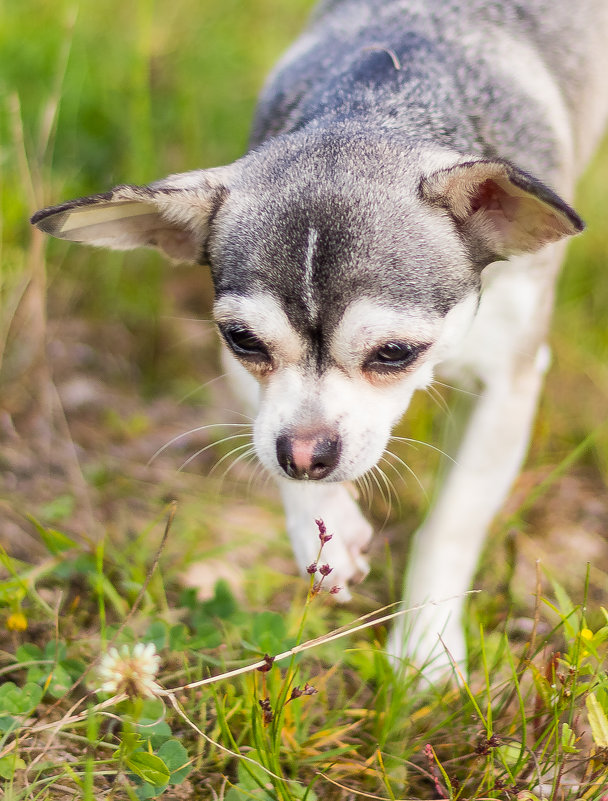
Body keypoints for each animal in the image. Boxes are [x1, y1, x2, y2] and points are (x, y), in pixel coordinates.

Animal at [32, 0, 608, 668]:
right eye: (244, 341)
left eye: (395, 353)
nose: (306, 454)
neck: (381, 100)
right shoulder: (248, 382)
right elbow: (273, 440)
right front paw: (324, 533)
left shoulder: (507, 385)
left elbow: (452, 522)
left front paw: (427, 651)